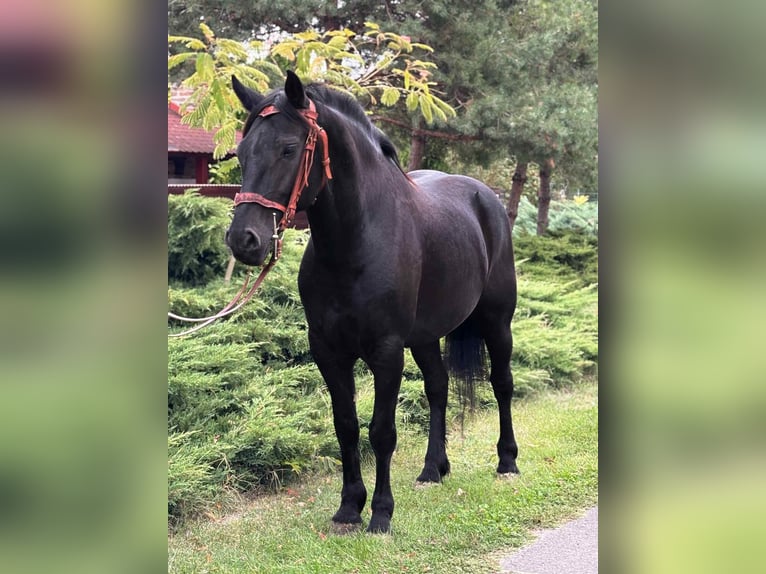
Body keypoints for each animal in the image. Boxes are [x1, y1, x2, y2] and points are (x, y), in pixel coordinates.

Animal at [226, 71, 519, 534]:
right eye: (241, 153)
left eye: (288, 149)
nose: (244, 240)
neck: (356, 242)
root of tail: (483, 195)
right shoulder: (328, 350)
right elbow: (346, 426)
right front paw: (349, 507)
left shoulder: (386, 351)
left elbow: (382, 431)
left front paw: (381, 513)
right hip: (425, 337)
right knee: (438, 388)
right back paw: (432, 469)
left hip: (497, 321)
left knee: (502, 384)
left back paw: (507, 462)